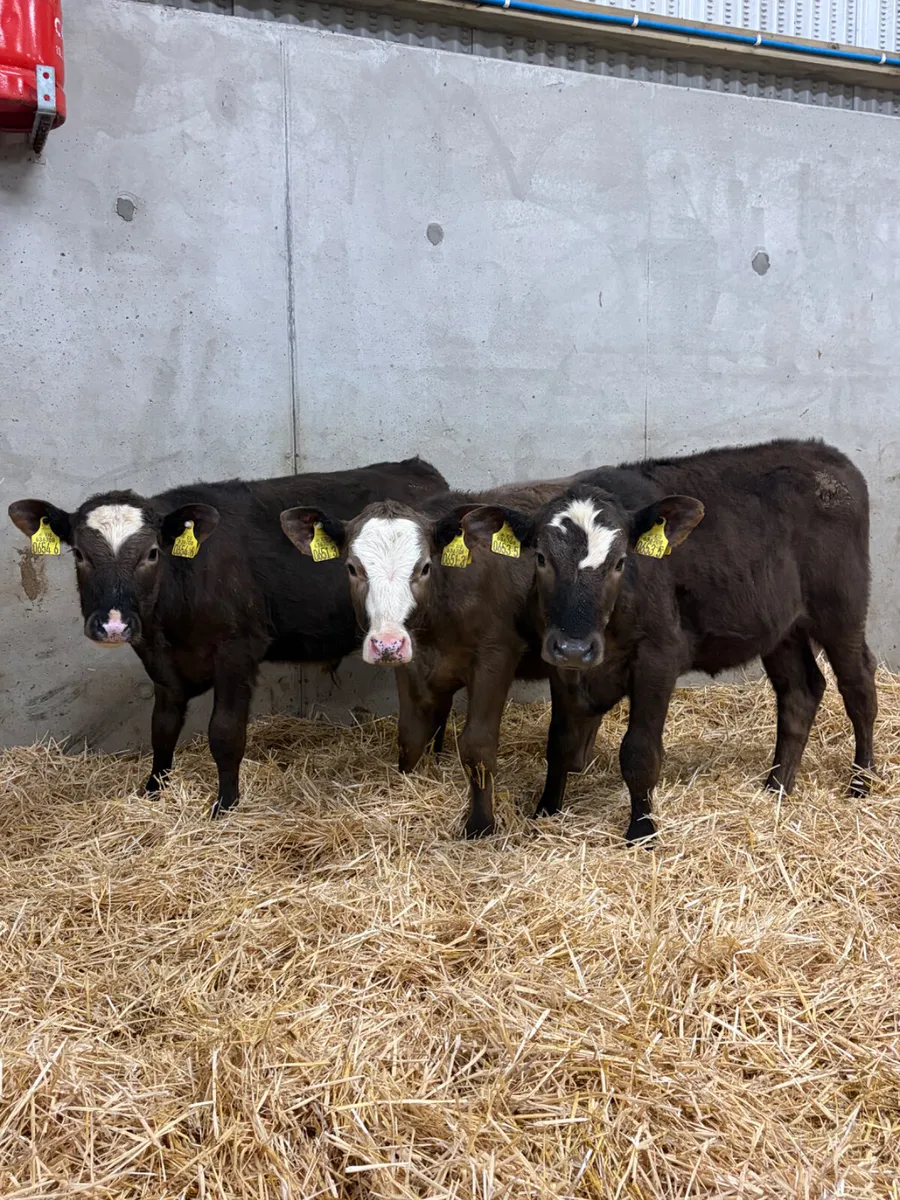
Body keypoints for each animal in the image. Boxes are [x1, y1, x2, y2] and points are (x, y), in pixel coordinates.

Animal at [8, 458, 448, 816]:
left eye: (152, 553)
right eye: (80, 555)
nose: (113, 625)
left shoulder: (236, 653)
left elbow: (225, 733)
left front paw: (225, 805)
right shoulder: (162, 664)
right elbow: (162, 729)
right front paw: (152, 792)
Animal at [279, 481, 597, 837]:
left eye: (424, 567)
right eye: (352, 568)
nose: (386, 643)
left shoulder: (496, 656)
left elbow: (477, 744)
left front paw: (480, 825)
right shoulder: (412, 663)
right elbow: (411, 735)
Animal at [459, 440, 877, 844]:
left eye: (620, 562)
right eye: (542, 558)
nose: (576, 647)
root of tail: (825, 455)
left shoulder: (658, 657)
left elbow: (639, 752)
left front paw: (642, 830)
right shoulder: (561, 665)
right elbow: (559, 743)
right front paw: (546, 811)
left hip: (842, 610)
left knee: (859, 688)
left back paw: (861, 781)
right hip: (782, 629)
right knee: (800, 693)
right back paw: (776, 787)